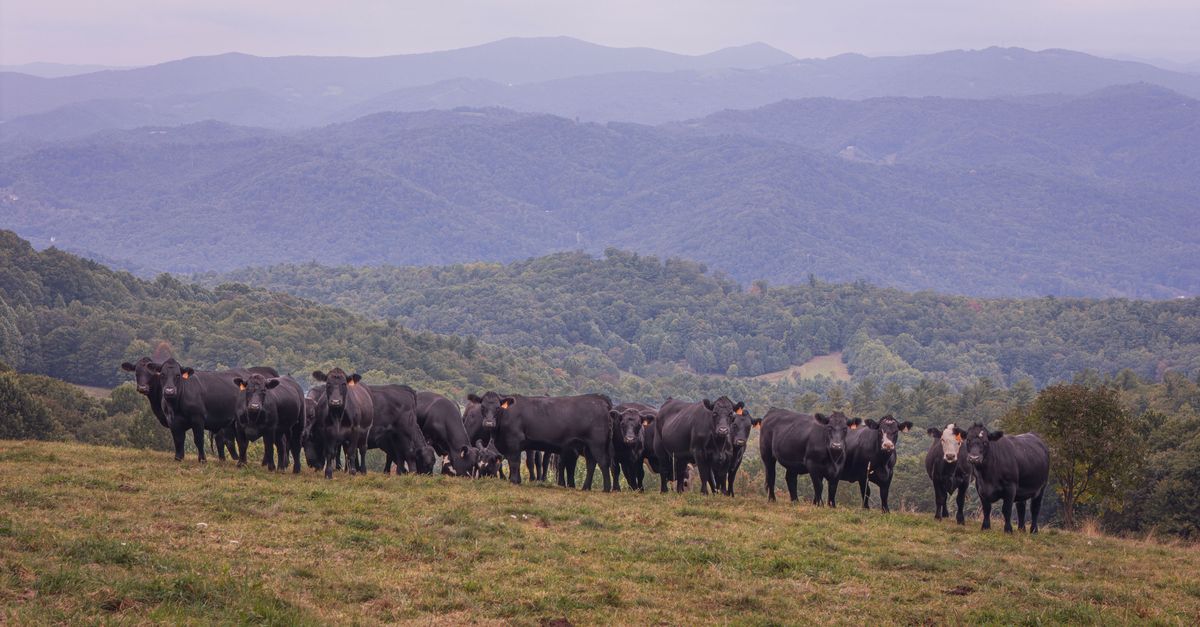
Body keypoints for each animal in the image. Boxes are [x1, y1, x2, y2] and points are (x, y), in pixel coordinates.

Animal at [468, 391, 614, 491]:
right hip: (587, 447)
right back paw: (585, 487)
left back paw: (606, 489)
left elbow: (514, 462)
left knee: (603, 463)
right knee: (591, 464)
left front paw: (514, 481)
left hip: (597, 444)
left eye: (498, 408)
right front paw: (516, 480)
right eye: (482, 407)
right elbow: (512, 463)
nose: (489, 423)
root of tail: (599, 398)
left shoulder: (514, 441)